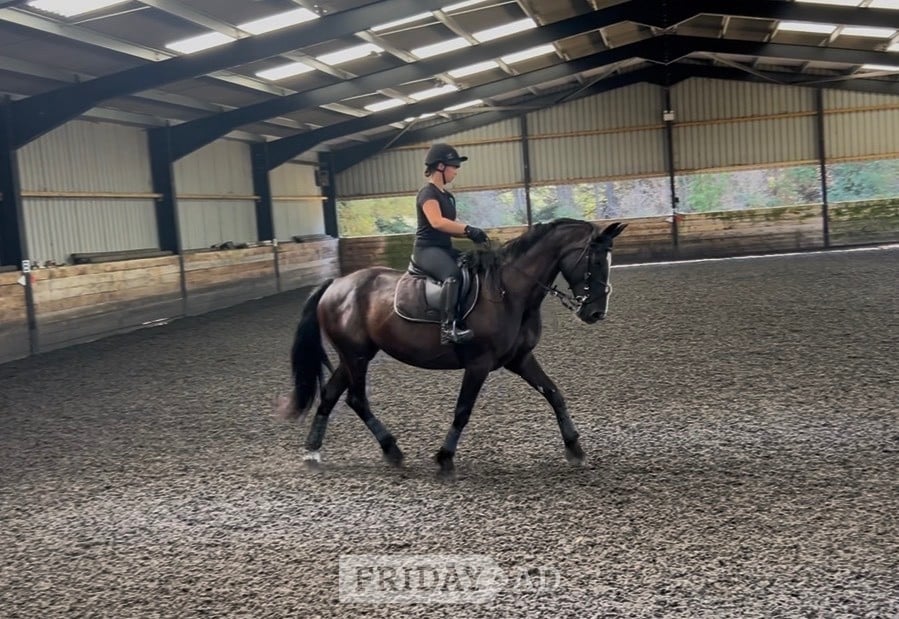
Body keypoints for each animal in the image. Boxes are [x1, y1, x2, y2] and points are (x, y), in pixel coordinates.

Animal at [277, 218, 628, 479]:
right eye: (596, 260)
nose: (595, 313)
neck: (510, 292)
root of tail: (335, 284)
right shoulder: (479, 364)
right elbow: (463, 410)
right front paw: (445, 458)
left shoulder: (519, 358)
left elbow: (554, 394)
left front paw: (575, 448)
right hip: (357, 356)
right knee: (356, 398)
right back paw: (391, 450)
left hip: (354, 355)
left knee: (331, 395)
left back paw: (313, 452)